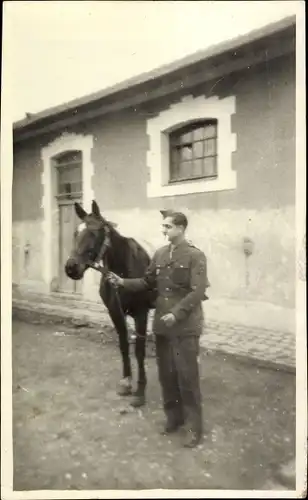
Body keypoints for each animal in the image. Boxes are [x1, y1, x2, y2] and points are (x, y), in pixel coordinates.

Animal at [65, 199, 156, 406]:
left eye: (94, 232)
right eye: (75, 232)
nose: (71, 267)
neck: (124, 270)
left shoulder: (141, 313)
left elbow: (139, 350)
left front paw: (140, 391)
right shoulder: (115, 311)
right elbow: (123, 345)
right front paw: (126, 383)